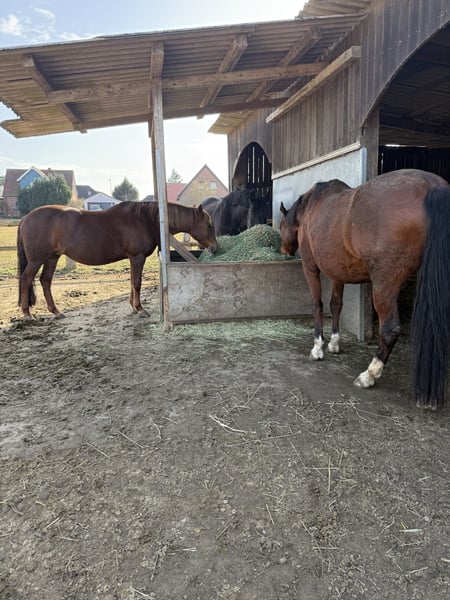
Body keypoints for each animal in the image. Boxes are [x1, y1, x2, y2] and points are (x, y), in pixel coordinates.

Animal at [17, 201, 218, 319]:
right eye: (208, 225)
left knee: (45, 281)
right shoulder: (137, 257)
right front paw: (140, 309)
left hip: (52, 258)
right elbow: (137, 283)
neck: (145, 219)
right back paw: (27, 314)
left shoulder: (132, 258)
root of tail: (26, 217)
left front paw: (133, 307)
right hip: (36, 260)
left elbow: (132, 282)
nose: (215, 248)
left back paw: (56, 312)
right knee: (26, 279)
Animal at [279, 168, 450, 410]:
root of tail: (432, 185)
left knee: (389, 329)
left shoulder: (310, 268)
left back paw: (369, 375)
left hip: (384, 283)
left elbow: (317, 305)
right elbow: (336, 304)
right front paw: (334, 344)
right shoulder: (338, 272)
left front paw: (318, 347)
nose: (284, 250)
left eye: (281, 226)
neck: (312, 207)